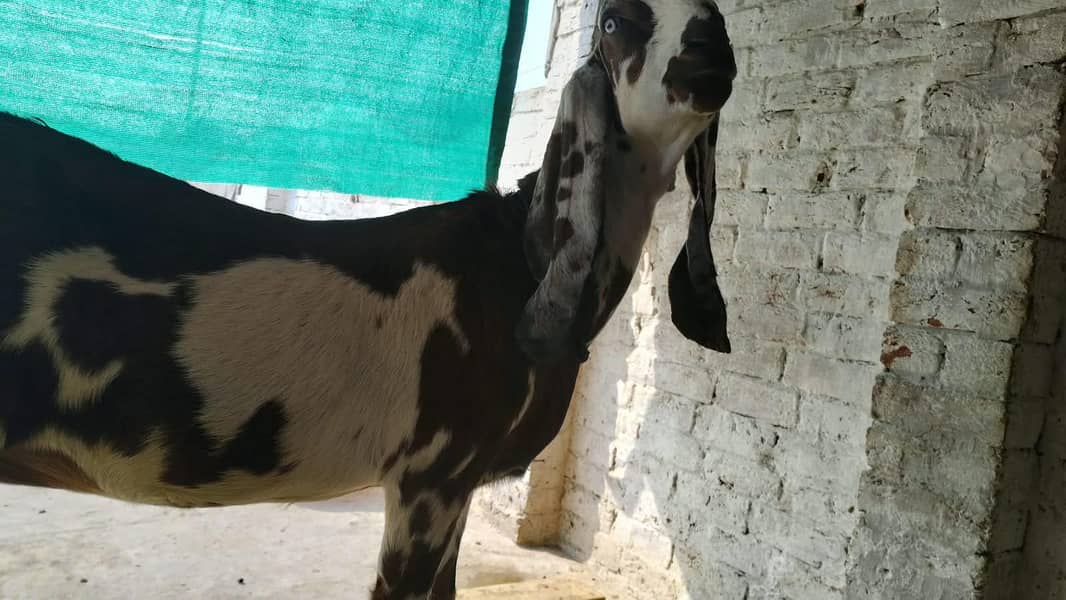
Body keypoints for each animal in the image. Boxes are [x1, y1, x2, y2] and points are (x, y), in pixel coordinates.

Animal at [0, 1, 736, 598]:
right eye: (613, 20)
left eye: (716, 14)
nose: (709, 55)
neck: (514, 268)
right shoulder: (429, 479)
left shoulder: (458, 487)